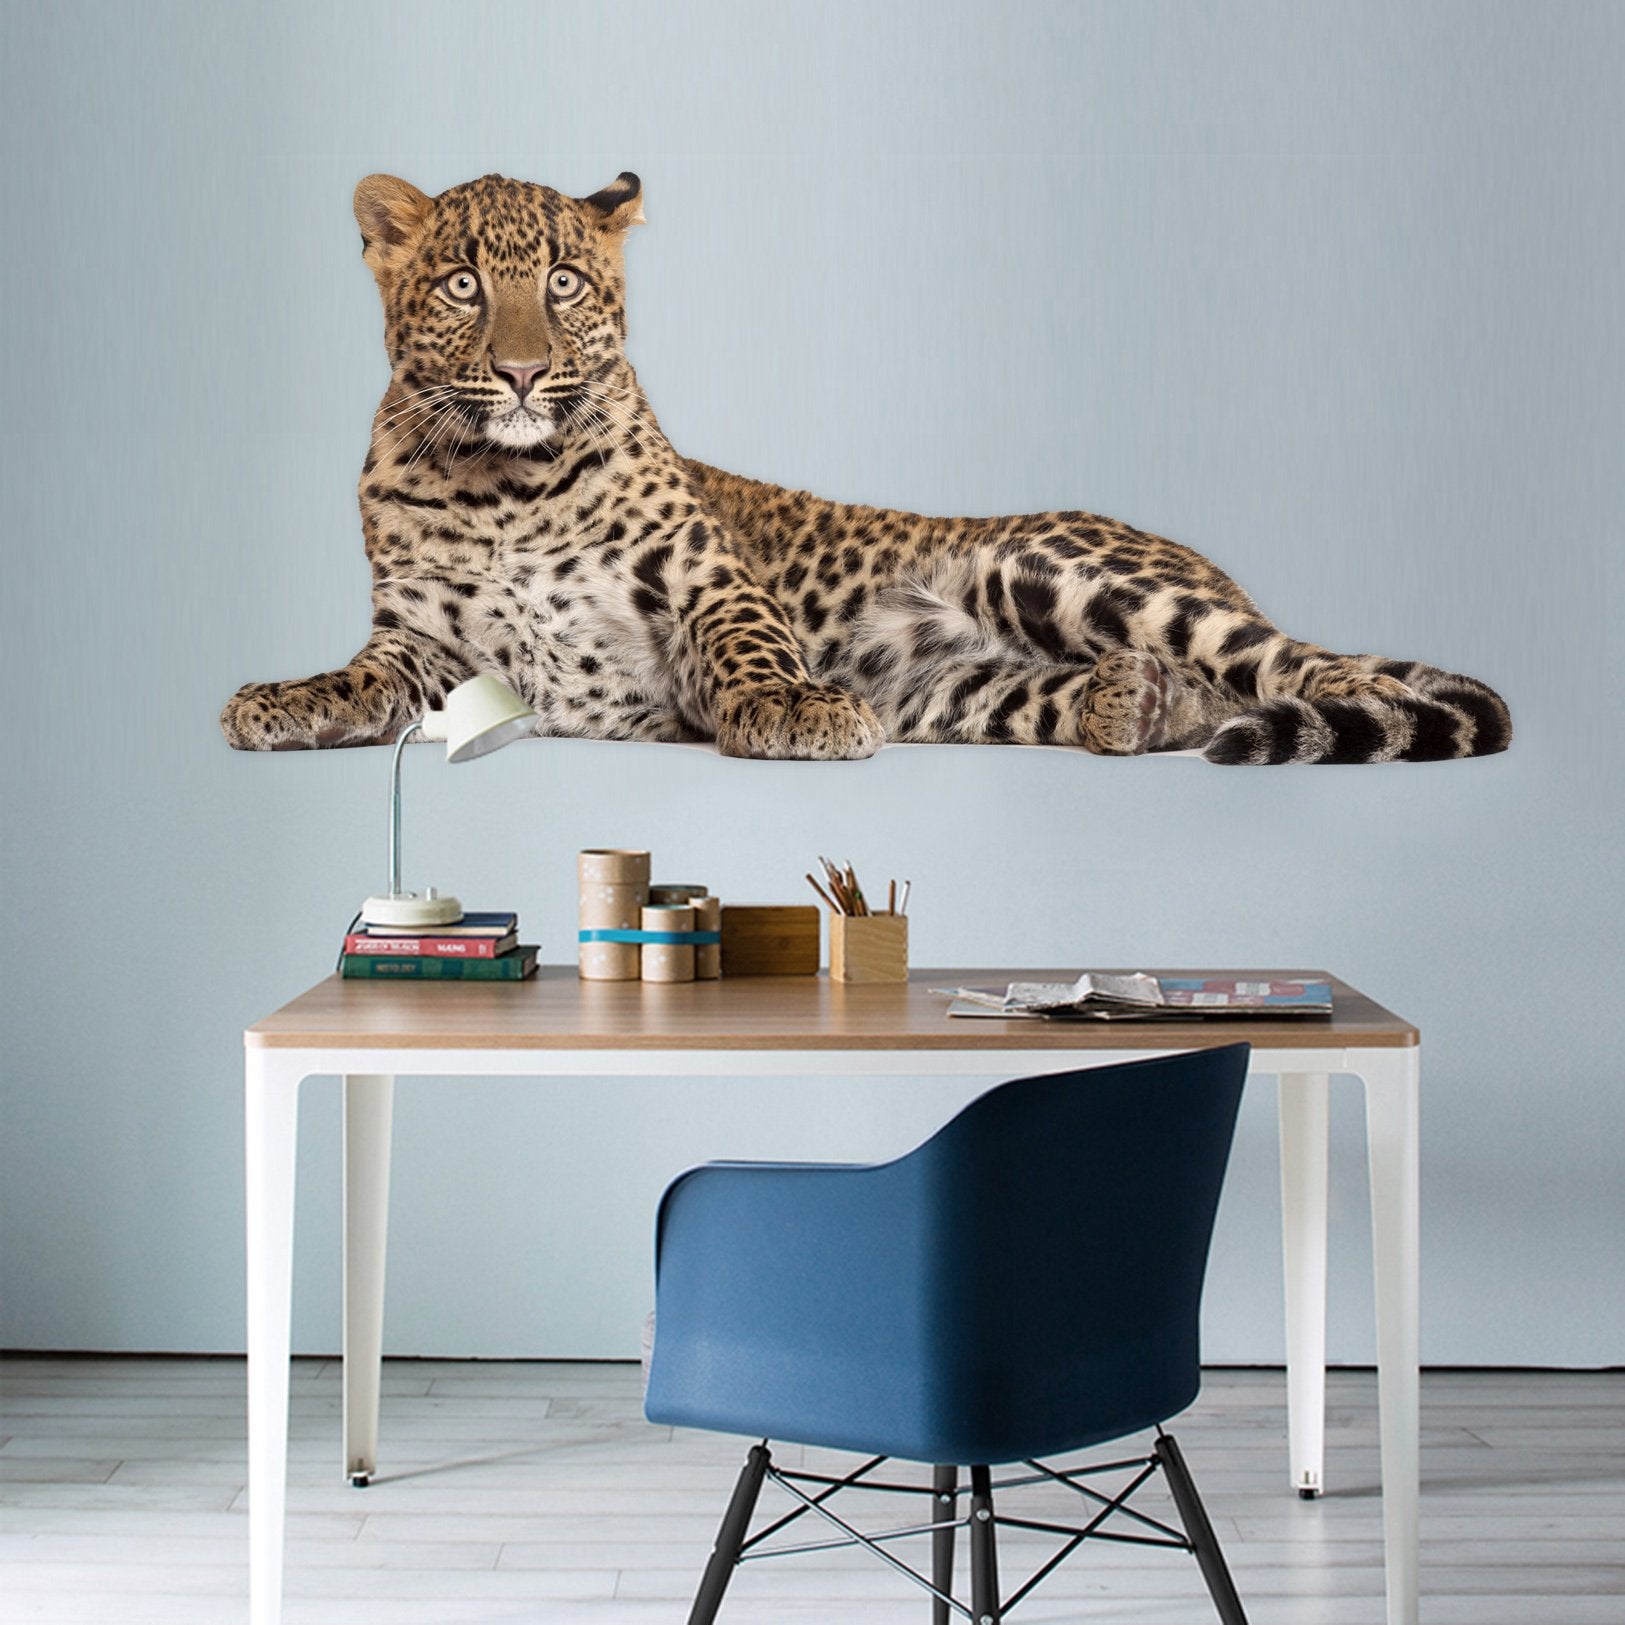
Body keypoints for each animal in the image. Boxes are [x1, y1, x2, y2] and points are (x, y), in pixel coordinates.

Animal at [220, 170, 1511, 767]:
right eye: (462, 286)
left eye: (565, 282)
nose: (528, 372)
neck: (504, 486)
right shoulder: (424, 646)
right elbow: (359, 679)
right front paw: (281, 698)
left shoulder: (709, 585)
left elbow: (746, 651)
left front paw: (790, 706)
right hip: (956, 687)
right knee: (1153, 693)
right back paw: (1133, 701)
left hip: (1050, 566)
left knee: (1310, 664)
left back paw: (1331, 704)